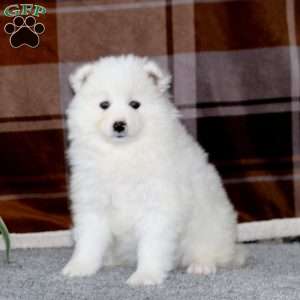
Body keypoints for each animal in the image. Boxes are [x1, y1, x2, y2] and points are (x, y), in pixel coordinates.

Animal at [62, 54, 245, 286]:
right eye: (104, 105)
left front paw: (145, 275)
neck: (123, 152)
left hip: (211, 225)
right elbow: (89, 240)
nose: (119, 125)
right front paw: (80, 267)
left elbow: (152, 245)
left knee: (211, 250)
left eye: (135, 104)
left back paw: (202, 265)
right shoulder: (93, 201)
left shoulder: (159, 204)